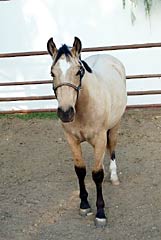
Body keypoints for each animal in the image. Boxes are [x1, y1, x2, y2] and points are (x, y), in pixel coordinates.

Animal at [46, 36, 127, 226]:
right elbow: (80, 170)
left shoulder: (100, 138)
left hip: (115, 126)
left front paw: (100, 213)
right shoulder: (71, 140)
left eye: (78, 72)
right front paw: (84, 204)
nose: (66, 112)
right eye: (52, 73)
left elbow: (97, 174)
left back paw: (113, 176)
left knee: (112, 149)